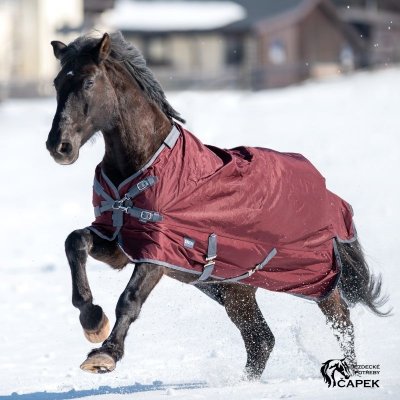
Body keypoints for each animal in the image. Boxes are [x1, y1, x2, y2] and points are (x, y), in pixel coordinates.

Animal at [45, 32, 390, 380]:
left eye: (89, 81)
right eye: (58, 82)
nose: (59, 146)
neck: (145, 164)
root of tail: (331, 197)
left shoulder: (158, 252)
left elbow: (129, 299)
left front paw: (105, 354)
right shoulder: (120, 242)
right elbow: (75, 241)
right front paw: (92, 319)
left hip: (314, 278)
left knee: (341, 320)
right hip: (236, 290)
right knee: (260, 340)